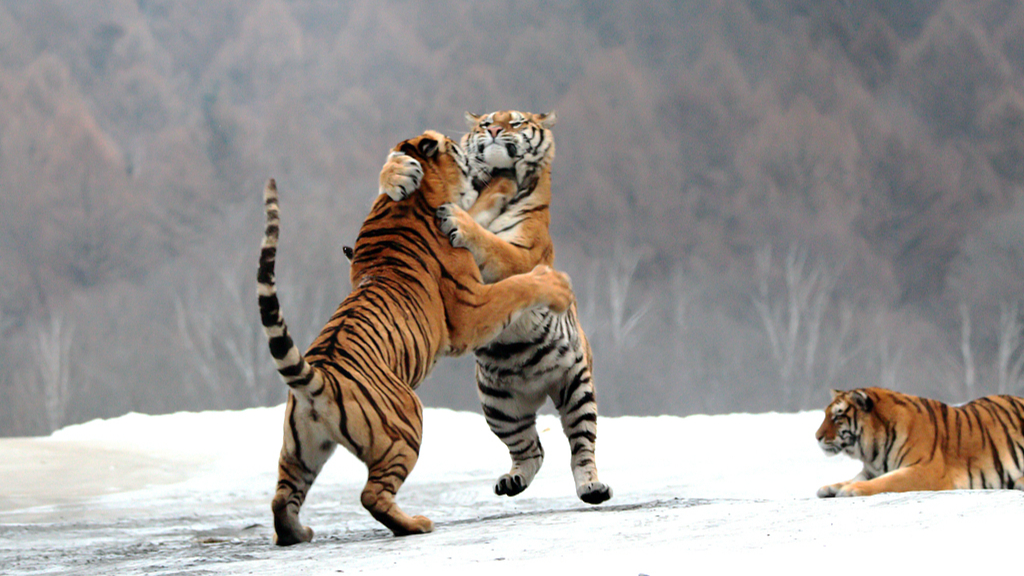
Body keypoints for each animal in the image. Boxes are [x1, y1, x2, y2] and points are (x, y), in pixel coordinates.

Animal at [258, 130, 576, 544]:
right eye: (458, 147)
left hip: (302, 449)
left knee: (282, 496)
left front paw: (501, 187)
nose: (481, 157)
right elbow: (515, 286)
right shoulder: (470, 308)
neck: (413, 201)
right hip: (406, 422)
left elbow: (477, 212)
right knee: (372, 495)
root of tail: (319, 379)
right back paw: (415, 524)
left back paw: (297, 532)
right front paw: (554, 285)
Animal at [376, 111, 612, 505]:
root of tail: (538, 386)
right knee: (531, 449)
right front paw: (398, 173)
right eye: (486, 121)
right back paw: (512, 481)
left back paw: (592, 487)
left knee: (581, 446)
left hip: (575, 387)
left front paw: (462, 219)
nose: (495, 129)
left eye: (516, 122)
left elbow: (492, 242)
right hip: (500, 408)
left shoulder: (524, 255)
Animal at [815, 387, 1024, 497]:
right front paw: (829, 487)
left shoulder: (927, 470)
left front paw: (851, 489)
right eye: (826, 414)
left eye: (837, 417)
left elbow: (887, 480)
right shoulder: (871, 470)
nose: (816, 437)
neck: (873, 451)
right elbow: (855, 478)